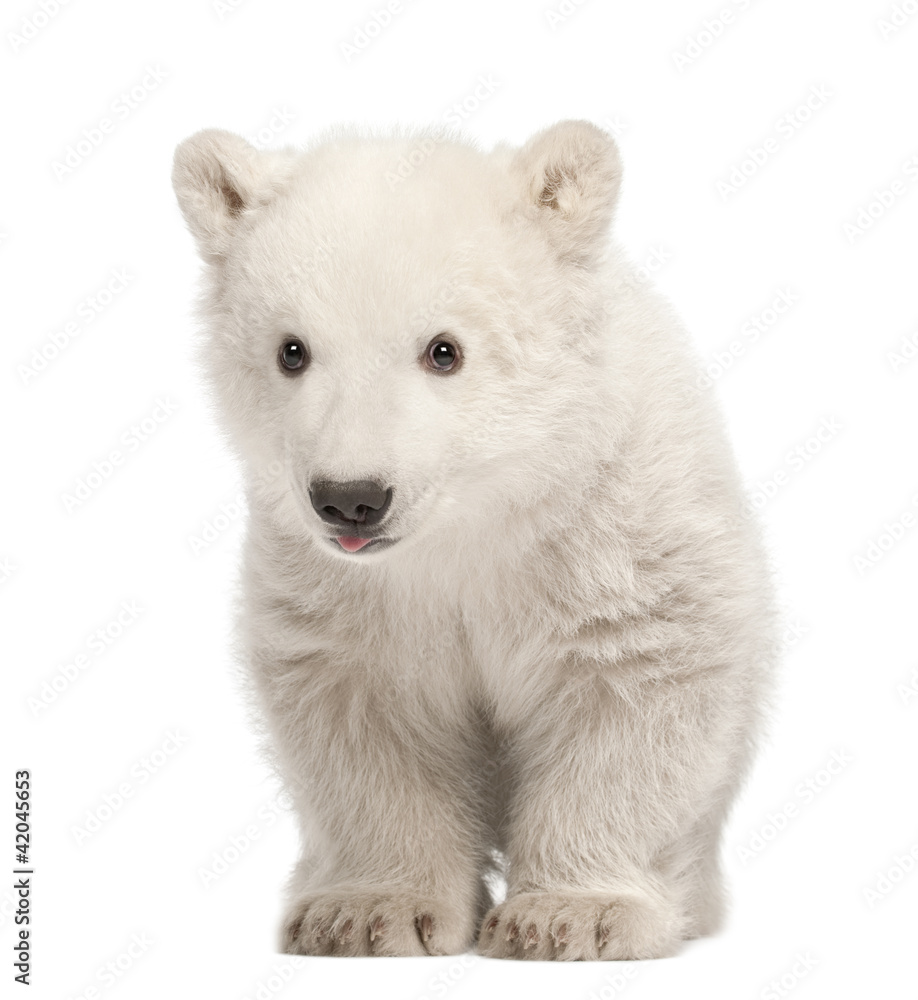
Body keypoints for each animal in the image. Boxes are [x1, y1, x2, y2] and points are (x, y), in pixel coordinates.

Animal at [172, 120, 777, 961]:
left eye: (444, 349)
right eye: (291, 349)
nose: (351, 499)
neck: (472, 525)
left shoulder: (611, 530)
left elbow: (636, 679)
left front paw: (572, 915)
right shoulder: (335, 586)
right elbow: (365, 711)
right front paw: (365, 912)